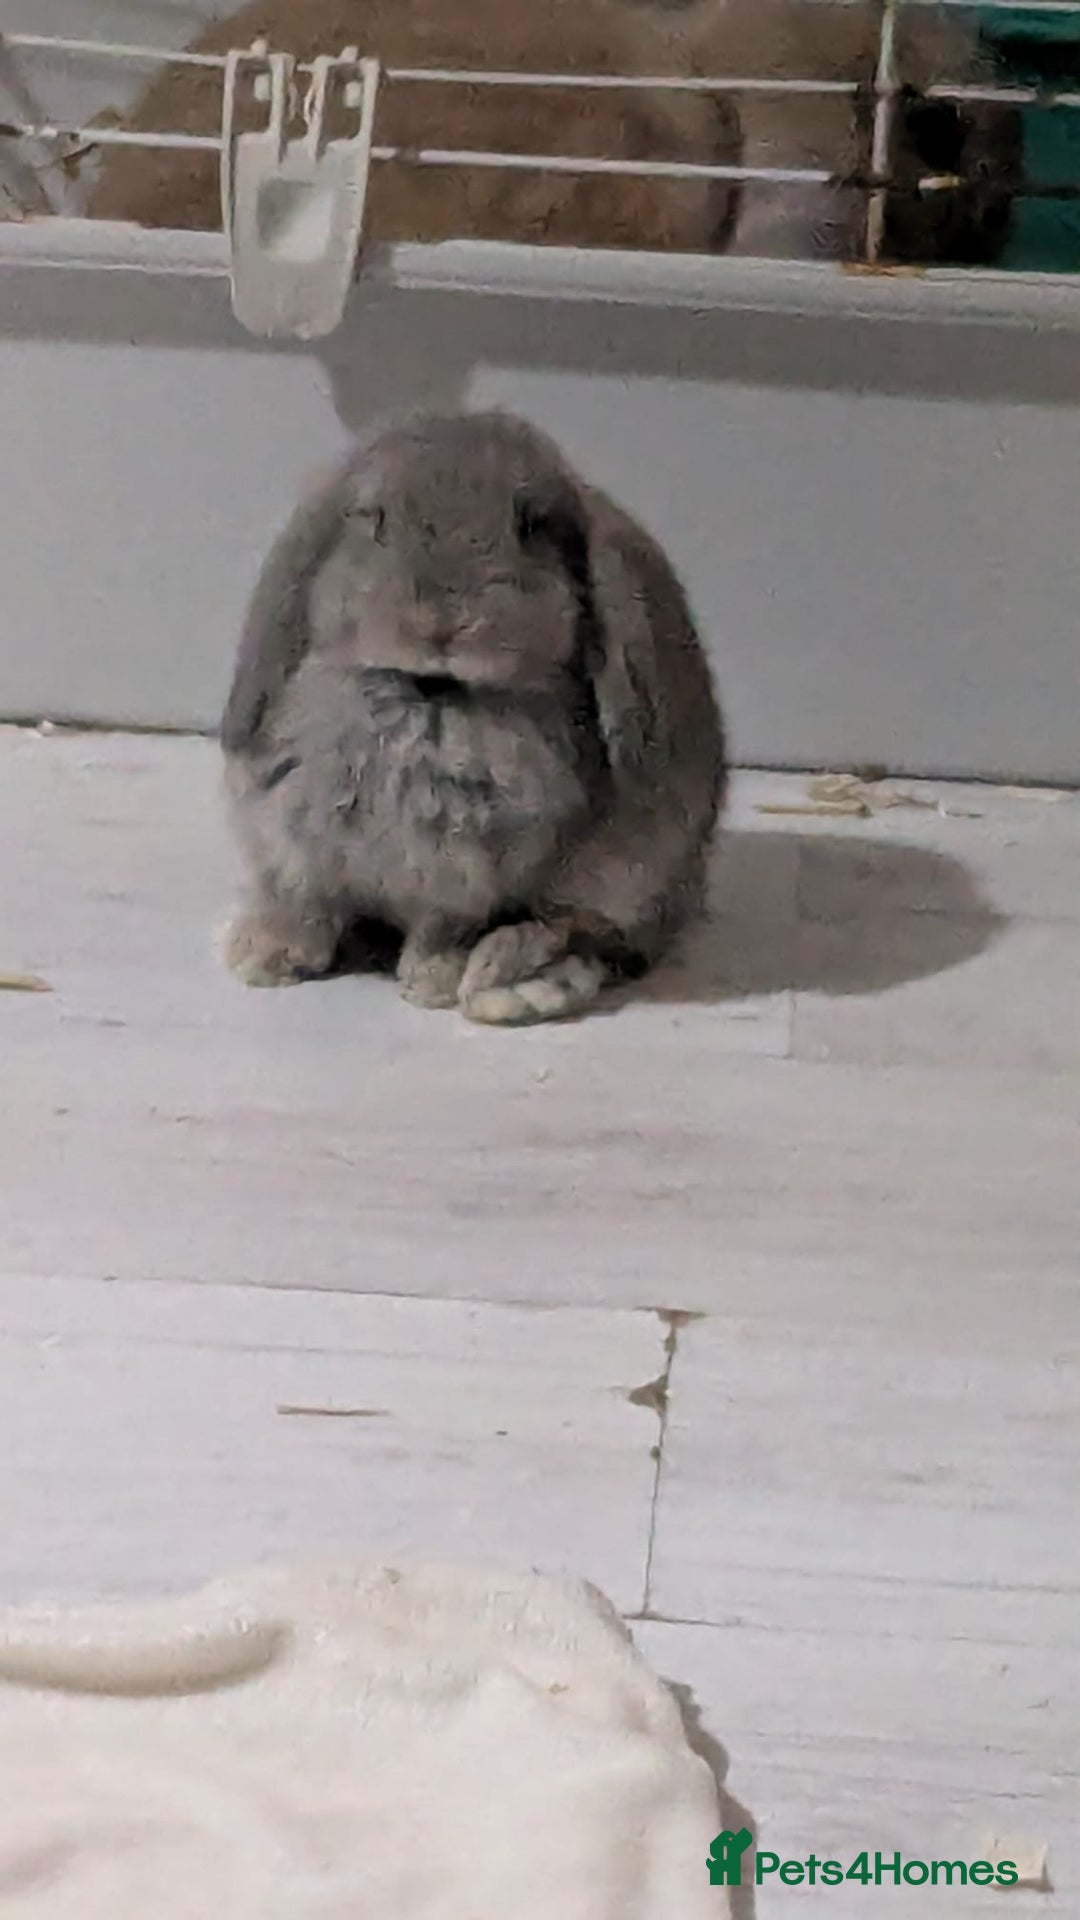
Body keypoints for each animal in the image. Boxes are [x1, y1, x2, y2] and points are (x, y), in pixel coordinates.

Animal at [220, 410, 726, 1026]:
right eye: (373, 518)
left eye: (531, 526)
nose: (440, 622)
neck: (427, 696)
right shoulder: (295, 846)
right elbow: (304, 901)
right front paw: (261, 958)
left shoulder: (467, 879)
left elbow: (443, 930)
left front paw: (430, 984)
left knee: (585, 936)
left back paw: (505, 979)